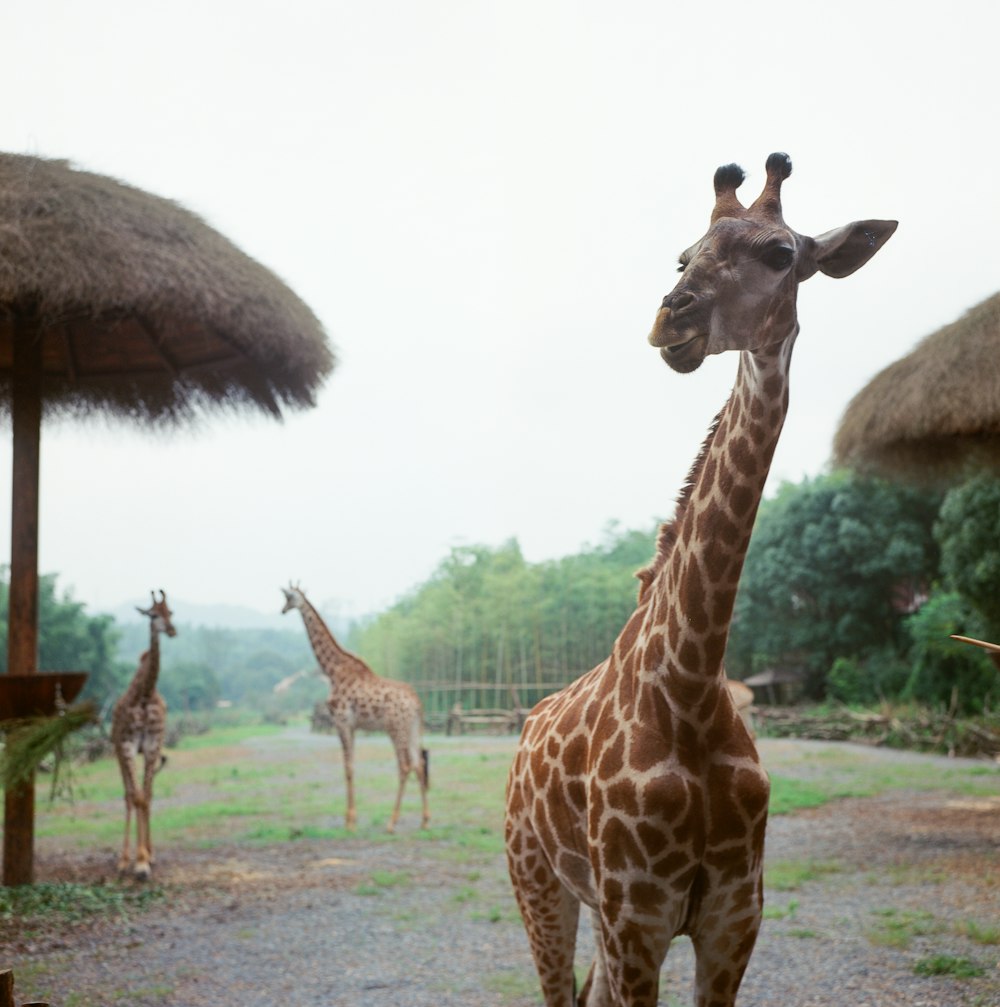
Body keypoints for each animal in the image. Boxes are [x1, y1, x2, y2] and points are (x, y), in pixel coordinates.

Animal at [279, 588, 426, 829]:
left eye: (289, 598)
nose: (282, 610)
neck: (332, 671)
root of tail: (417, 702)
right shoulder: (353, 726)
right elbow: (352, 765)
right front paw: (352, 818)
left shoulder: (342, 722)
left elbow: (347, 767)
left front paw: (348, 822)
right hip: (412, 729)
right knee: (419, 763)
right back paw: (425, 820)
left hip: (396, 728)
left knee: (405, 765)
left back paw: (391, 822)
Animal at [503, 151, 894, 1007]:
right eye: (683, 257)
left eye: (781, 253)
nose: (671, 320)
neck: (688, 684)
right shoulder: (639, 918)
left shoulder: (731, 922)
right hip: (537, 880)